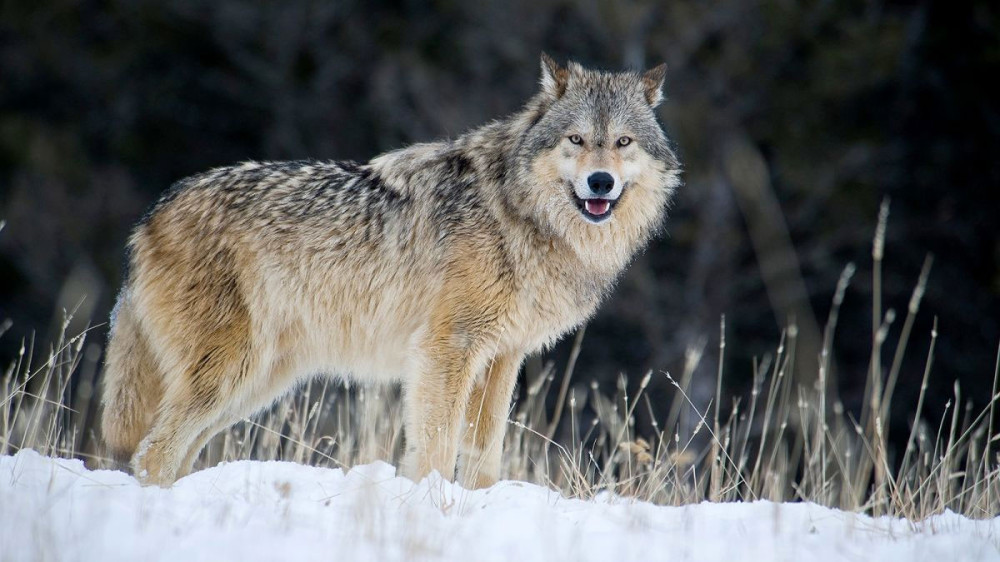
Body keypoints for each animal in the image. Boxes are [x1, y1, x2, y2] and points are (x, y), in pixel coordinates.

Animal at [99, 54, 680, 488]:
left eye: (623, 142)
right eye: (576, 140)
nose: (601, 182)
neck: (518, 213)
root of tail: (150, 216)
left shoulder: (502, 358)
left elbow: (484, 453)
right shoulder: (446, 350)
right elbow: (437, 446)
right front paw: (431, 502)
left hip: (255, 383)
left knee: (172, 453)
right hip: (230, 373)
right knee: (152, 452)